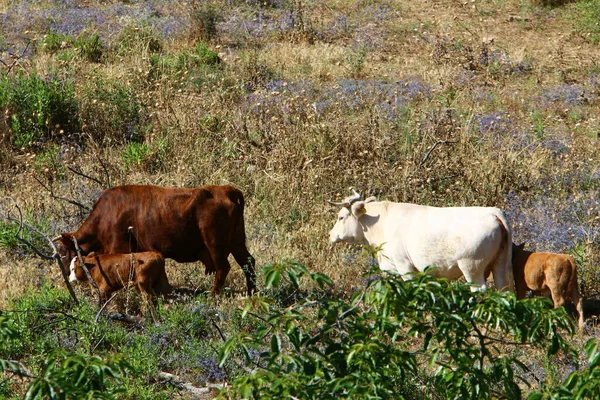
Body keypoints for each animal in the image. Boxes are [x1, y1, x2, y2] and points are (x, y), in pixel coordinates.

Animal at [59, 186, 256, 296]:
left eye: (63, 252)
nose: (67, 277)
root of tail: (227, 190)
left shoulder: (118, 247)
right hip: (237, 242)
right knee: (248, 263)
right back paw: (252, 292)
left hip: (215, 243)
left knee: (223, 268)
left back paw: (213, 296)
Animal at [328, 191, 516, 290]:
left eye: (341, 217)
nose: (330, 235)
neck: (382, 222)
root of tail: (492, 212)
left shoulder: (404, 266)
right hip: (499, 264)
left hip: (471, 267)